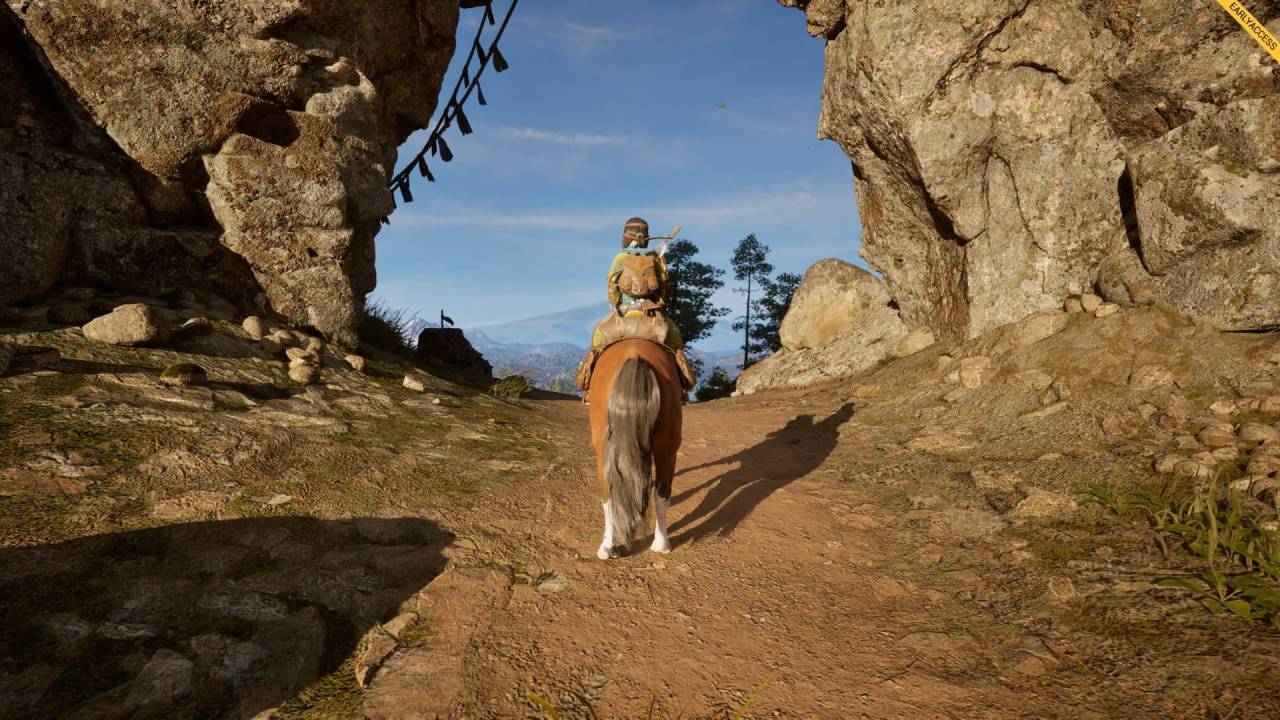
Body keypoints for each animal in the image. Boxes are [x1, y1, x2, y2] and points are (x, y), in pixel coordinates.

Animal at [586, 338, 683, 559]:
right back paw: (659, 543)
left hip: (603, 450)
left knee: (609, 494)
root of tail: (636, 357)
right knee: (661, 495)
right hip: (667, 450)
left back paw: (611, 546)